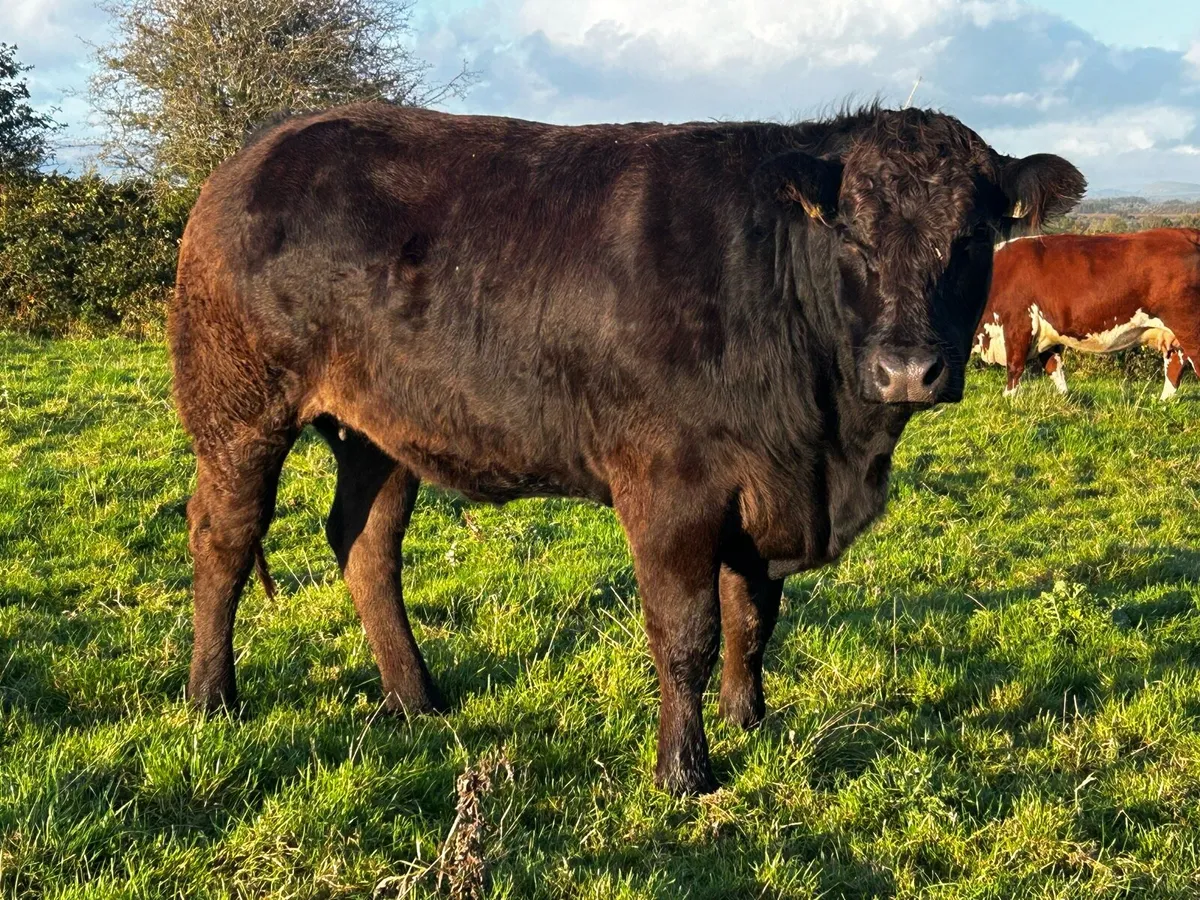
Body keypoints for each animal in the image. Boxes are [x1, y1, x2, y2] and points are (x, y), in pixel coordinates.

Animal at [169, 102, 1084, 794]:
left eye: (972, 238)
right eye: (853, 237)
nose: (907, 370)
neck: (830, 450)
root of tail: (254, 154)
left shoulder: (764, 487)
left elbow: (753, 618)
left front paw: (750, 720)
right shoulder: (673, 485)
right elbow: (685, 632)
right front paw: (685, 772)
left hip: (380, 430)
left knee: (365, 544)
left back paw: (416, 698)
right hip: (238, 407)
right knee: (224, 538)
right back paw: (212, 699)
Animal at [973, 229, 1200, 399]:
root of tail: (1188, 233)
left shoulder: (1018, 324)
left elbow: (1015, 366)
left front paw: (1008, 398)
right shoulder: (1046, 332)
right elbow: (1054, 366)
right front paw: (1064, 397)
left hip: (1189, 328)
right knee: (1175, 366)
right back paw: (1162, 402)